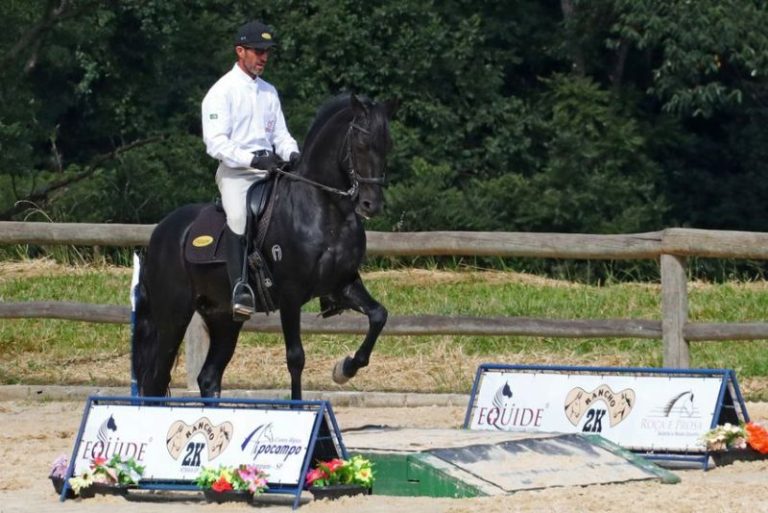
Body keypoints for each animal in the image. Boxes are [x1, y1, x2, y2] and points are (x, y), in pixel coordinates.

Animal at [132, 96, 396, 400]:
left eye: (387, 145)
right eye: (361, 144)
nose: (370, 205)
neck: (325, 210)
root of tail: (160, 233)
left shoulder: (343, 284)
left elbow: (379, 316)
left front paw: (344, 369)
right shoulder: (291, 295)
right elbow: (295, 357)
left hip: (224, 317)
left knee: (208, 377)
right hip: (174, 315)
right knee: (155, 378)